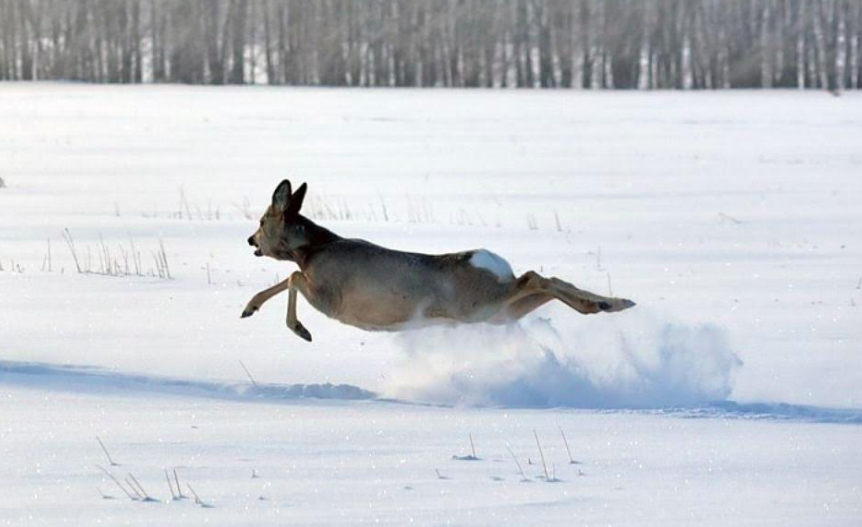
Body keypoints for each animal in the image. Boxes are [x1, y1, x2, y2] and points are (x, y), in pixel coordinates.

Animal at [241, 180, 636, 342]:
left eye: (261, 221)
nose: (251, 240)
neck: (314, 249)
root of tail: (491, 262)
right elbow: (288, 277)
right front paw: (250, 309)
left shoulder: (331, 298)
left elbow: (291, 277)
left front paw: (296, 328)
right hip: (497, 312)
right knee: (542, 281)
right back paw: (609, 303)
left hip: (480, 304)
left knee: (535, 277)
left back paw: (607, 303)